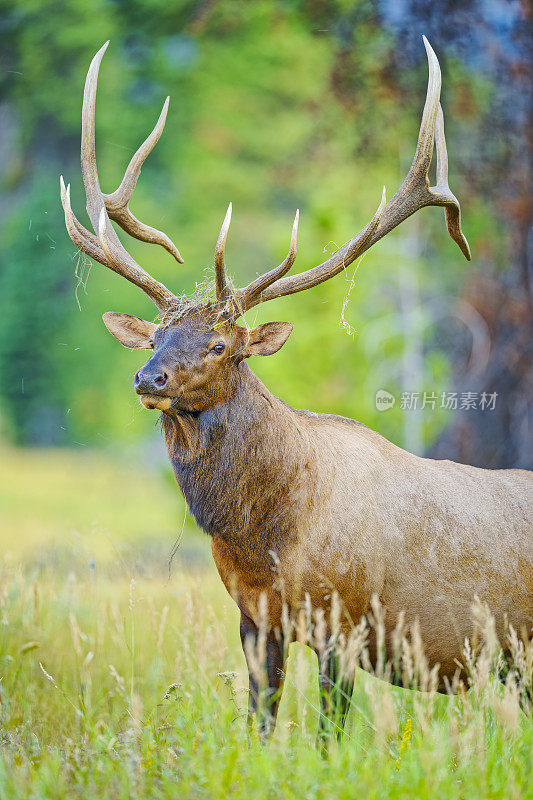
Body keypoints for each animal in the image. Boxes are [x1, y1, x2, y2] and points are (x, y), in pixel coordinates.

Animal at [61, 37, 528, 736]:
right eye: (155, 338)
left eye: (221, 345)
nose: (148, 377)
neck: (265, 540)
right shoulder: (256, 619)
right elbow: (260, 723)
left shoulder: (346, 618)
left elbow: (331, 733)